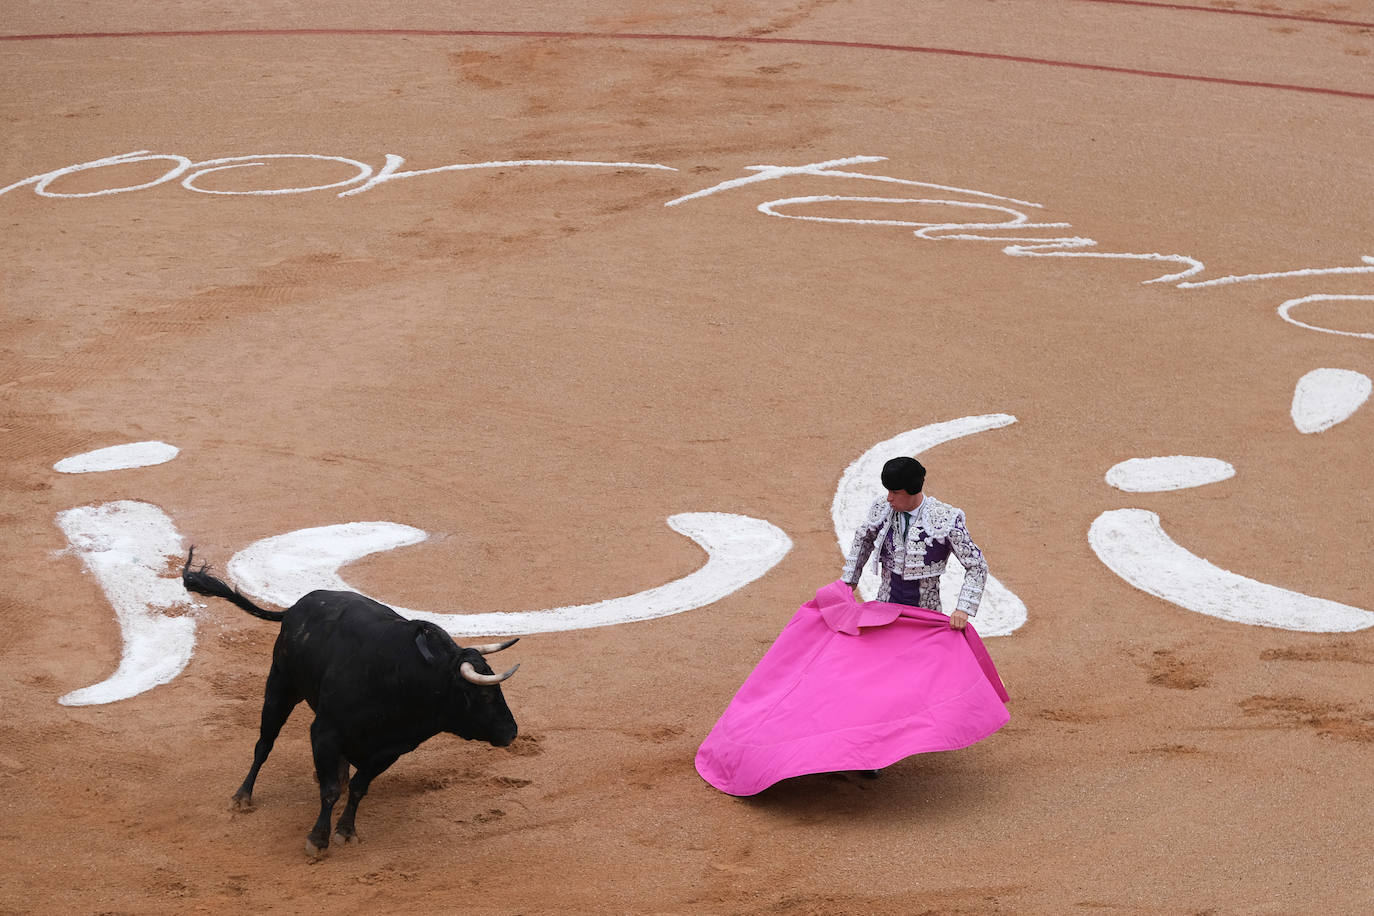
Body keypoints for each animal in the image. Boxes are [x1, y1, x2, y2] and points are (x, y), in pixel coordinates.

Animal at [181, 549, 519, 856]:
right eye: (484, 694)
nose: (511, 732)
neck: (404, 679)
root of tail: (295, 607)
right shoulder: (324, 732)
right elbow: (328, 791)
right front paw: (318, 840)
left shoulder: (390, 750)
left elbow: (359, 787)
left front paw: (345, 831)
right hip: (280, 685)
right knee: (264, 744)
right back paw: (242, 797)